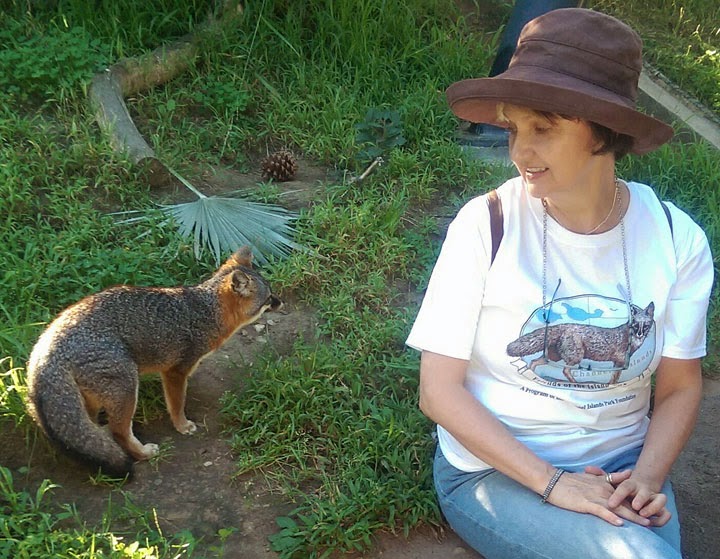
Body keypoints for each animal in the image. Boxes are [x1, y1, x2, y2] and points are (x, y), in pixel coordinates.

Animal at [26, 246, 281, 478]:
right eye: (268, 299)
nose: (281, 302)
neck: (206, 310)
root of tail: (47, 347)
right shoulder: (176, 371)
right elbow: (176, 403)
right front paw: (182, 425)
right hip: (126, 387)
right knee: (119, 431)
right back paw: (143, 454)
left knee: (92, 429)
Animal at [506, 302, 655, 384]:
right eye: (636, 325)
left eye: (646, 326)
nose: (640, 334)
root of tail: (564, 325)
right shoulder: (619, 363)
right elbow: (614, 379)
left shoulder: (618, 364)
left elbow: (614, 379)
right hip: (576, 357)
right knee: (565, 370)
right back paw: (574, 383)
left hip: (554, 357)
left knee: (534, 362)